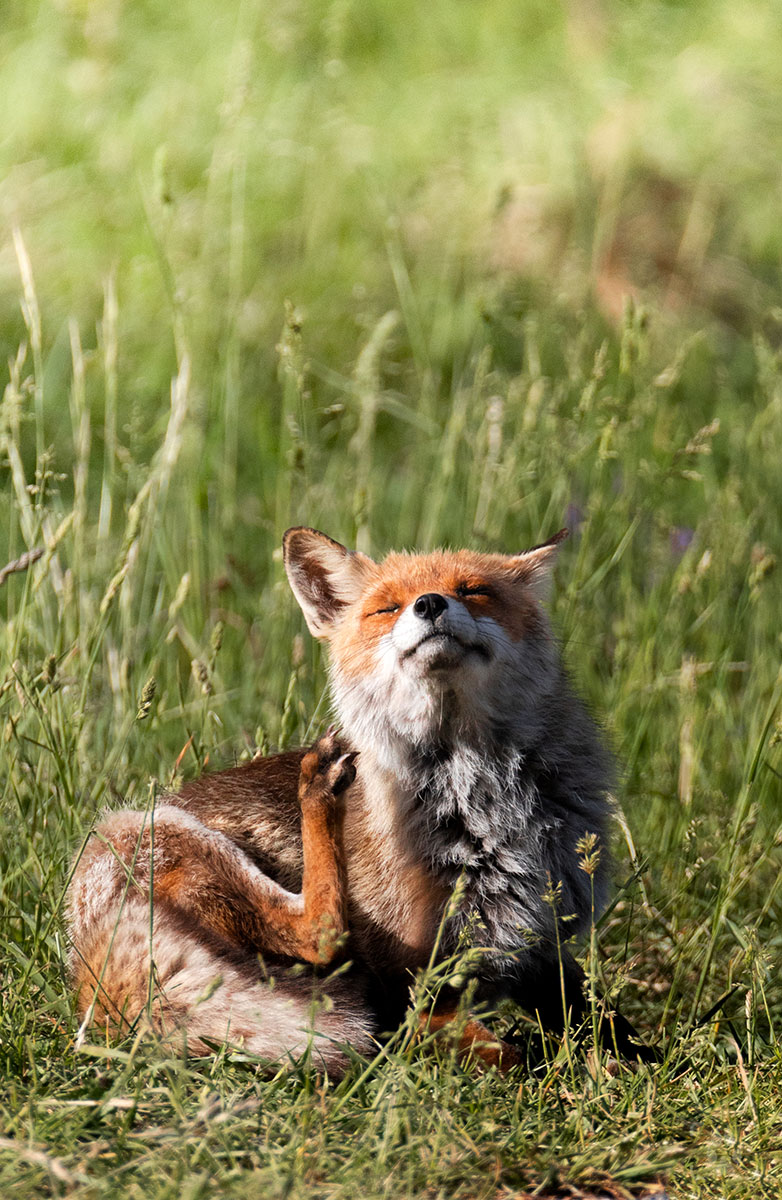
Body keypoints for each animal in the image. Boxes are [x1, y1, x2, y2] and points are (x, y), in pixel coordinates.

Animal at [67, 526, 655, 1074]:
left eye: (474, 590)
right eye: (388, 607)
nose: (430, 604)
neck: (480, 803)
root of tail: (84, 959)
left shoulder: (540, 947)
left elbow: (603, 1019)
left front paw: (640, 1060)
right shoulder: (414, 986)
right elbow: (482, 1045)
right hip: (166, 833)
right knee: (319, 931)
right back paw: (318, 788)